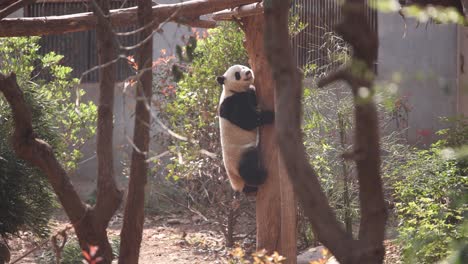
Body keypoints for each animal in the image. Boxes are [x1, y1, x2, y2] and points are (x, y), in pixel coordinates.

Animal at [217, 64, 274, 193]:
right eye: (237, 74)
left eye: (243, 66)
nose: (248, 72)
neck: (232, 90)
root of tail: (236, 184)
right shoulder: (232, 103)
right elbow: (246, 120)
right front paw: (270, 115)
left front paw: (253, 89)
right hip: (240, 155)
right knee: (248, 168)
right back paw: (260, 176)